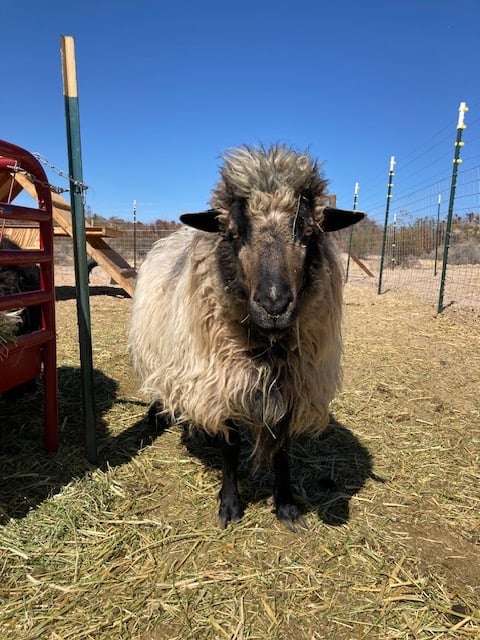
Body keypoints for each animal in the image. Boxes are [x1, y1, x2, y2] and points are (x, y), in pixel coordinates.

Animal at [128, 144, 364, 529]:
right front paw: (230, 504)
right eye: (234, 233)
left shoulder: (293, 385)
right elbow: (230, 446)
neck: (268, 349)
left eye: (308, 231)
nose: (274, 304)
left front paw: (286, 506)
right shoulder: (219, 380)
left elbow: (281, 448)